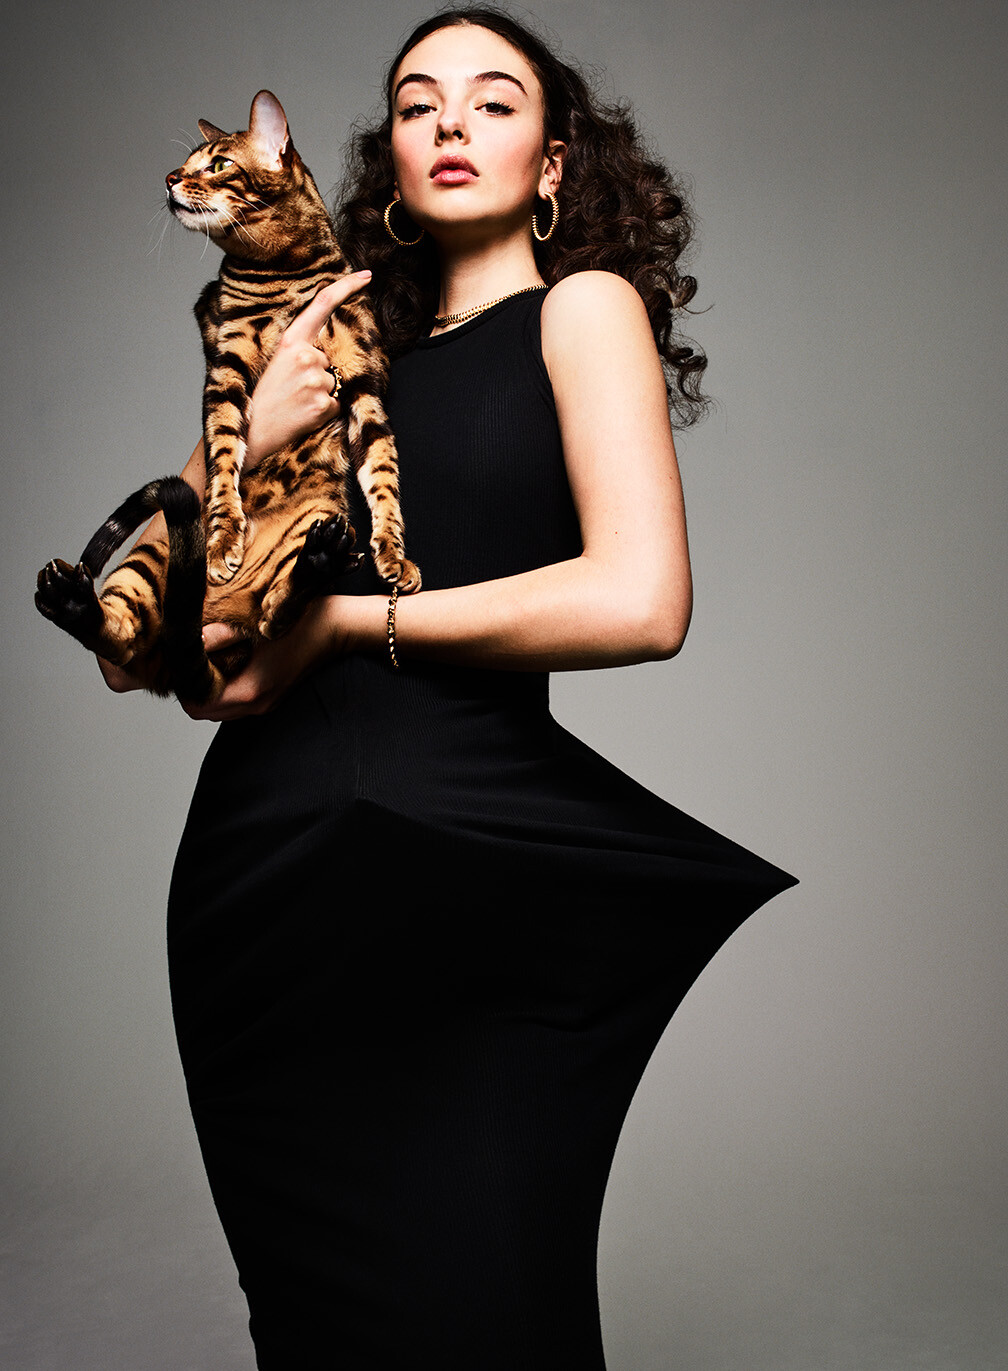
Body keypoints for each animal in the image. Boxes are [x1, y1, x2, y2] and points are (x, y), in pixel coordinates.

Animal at [36, 89, 419, 701]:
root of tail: (208, 633)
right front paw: (222, 541)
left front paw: (394, 556)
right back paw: (74, 601)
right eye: (186, 163)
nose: (170, 177)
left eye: (217, 164)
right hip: (152, 556)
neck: (282, 269)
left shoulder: (363, 378)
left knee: (273, 616)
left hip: (318, 514)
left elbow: (384, 476)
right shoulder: (226, 368)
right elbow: (222, 458)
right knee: (121, 638)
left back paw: (318, 561)